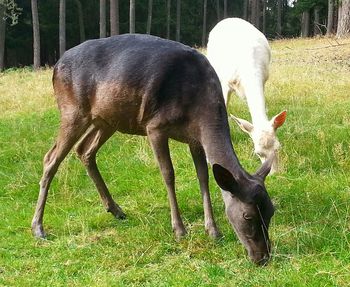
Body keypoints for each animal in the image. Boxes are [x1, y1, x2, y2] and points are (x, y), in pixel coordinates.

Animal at [31, 35, 274, 266]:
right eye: (247, 216)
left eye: (271, 210)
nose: (263, 256)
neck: (198, 108)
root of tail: (56, 66)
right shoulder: (155, 126)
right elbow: (168, 174)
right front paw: (179, 230)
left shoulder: (194, 139)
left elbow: (203, 177)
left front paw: (213, 230)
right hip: (72, 110)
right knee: (50, 158)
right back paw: (38, 227)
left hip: (107, 119)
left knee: (84, 150)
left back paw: (115, 209)